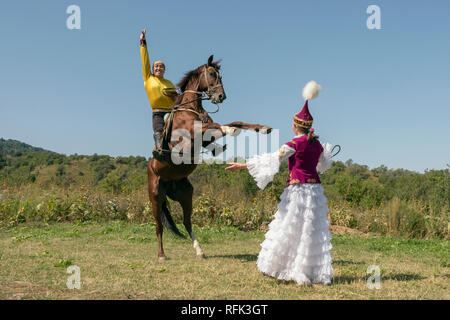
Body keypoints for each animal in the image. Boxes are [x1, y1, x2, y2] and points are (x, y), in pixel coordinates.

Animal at [149, 54, 272, 260]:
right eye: (213, 74)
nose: (221, 97)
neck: (191, 108)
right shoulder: (192, 135)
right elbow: (221, 126)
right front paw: (231, 130)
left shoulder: (205, 137)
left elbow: (235, 121)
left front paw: (263, 128)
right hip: (156, 196)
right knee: (159, 226)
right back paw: (161, 255)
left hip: (186, 194)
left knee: (187, 222)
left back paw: (199, 250)